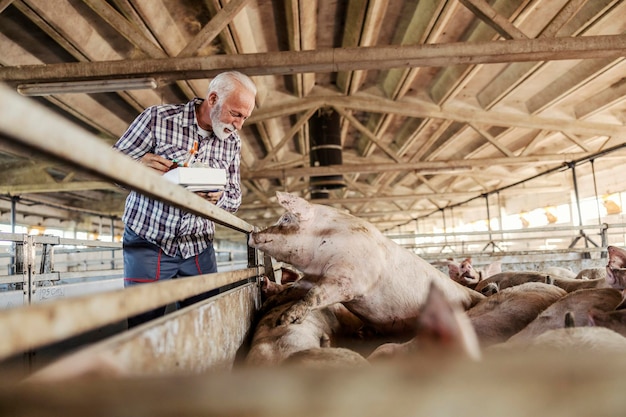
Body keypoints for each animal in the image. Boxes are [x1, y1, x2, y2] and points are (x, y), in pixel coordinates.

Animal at [246, 192, 480, 334]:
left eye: (285, 219)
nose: (252, 234)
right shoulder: (311, 278)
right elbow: (291, 290)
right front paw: (264, 307)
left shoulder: (349, 279)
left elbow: (315, 295)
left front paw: (284, 321)